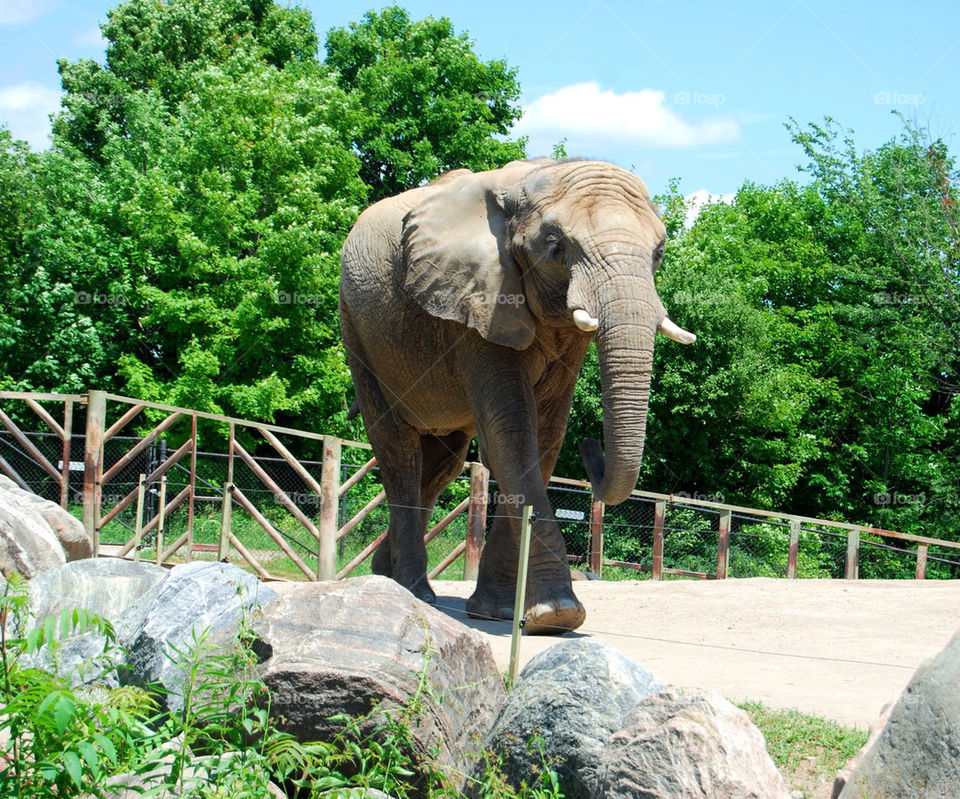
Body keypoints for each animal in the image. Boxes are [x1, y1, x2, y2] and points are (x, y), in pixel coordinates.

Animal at [342, 156, 692, 636]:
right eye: (555, 246)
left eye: (658, 254)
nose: (591, 445)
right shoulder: (478, 301)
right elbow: (511, 431)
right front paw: (558, 613)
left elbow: (544, 436)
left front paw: (500, 612)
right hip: (358, 332)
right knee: (400, 454)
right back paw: (414, 592)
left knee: (442, 465)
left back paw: (384, 577)